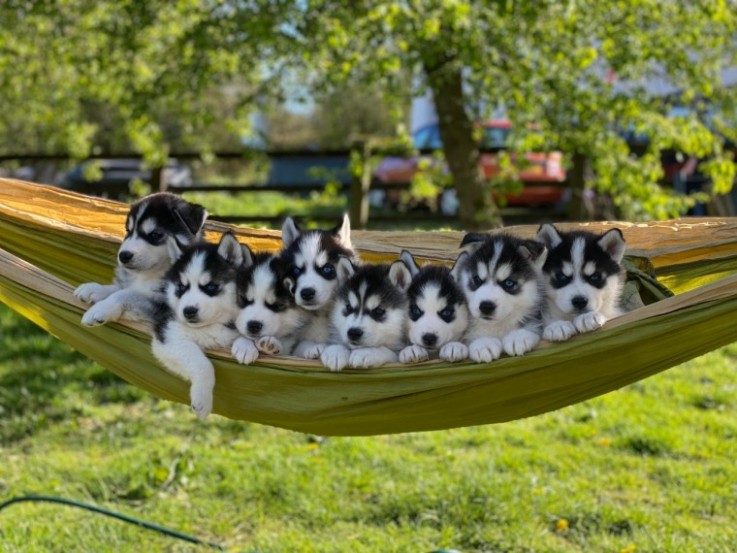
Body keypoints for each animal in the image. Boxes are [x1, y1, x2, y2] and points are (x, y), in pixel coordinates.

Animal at [76, 192, 207, 326]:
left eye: (155, 234)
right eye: (128, 231)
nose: (123, 255)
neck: (152, 275)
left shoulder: (165, 307)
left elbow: (127, 293)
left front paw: (101, 308)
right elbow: (122, 288)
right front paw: (96, 289)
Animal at [151, 232, 249, 418]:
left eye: (211, 286)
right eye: (182, 287)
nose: (188, 311)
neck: (210, 326)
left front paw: (246, 347)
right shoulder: (168, 335)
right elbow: (202, 364)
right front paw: (202, 401)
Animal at [278, 213, 356, 360]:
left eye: (327, 269)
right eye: (296, 270)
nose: (307, 293)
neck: (321, 313)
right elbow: (301, 345)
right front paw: (313, 348)